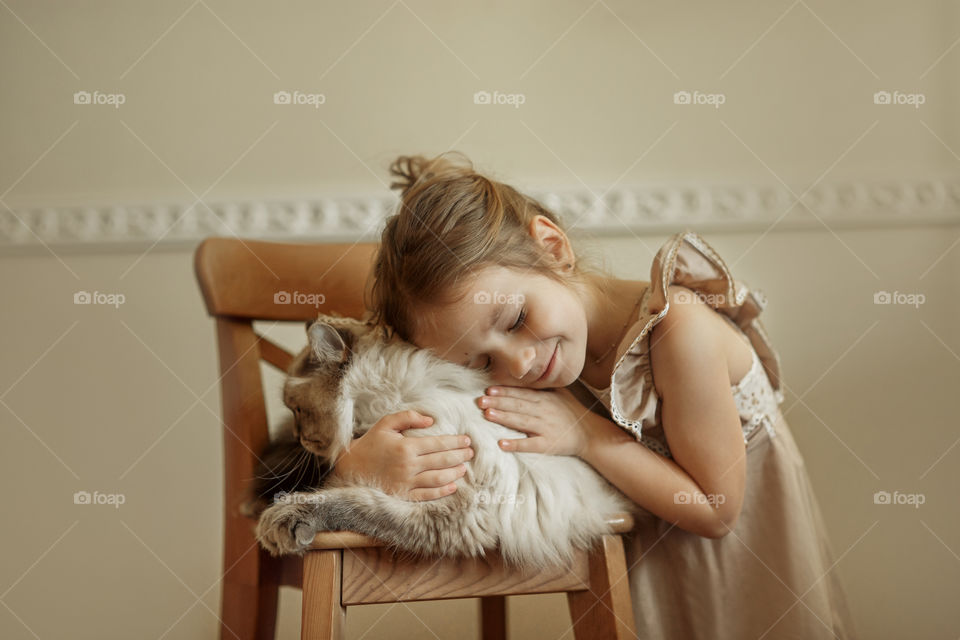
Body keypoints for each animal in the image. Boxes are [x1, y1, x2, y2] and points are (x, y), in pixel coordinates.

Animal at [255, 312, 636, 568]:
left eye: (297, 410)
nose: (298, 436)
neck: (398, 398)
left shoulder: (456, 510)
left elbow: (354, 501)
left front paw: (281, 518)